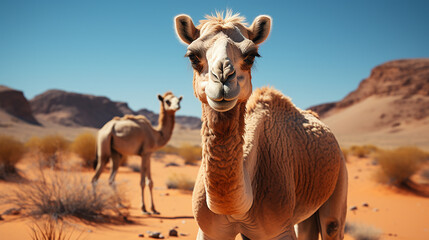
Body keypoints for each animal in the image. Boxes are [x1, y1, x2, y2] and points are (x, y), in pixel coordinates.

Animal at [174, 10, 348, 238]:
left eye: (251, 55)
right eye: (193, 56)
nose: (223, 78)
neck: (240, 209)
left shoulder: (279, 229)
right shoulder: (209, 231)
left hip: (340, 179)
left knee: (331, 225)